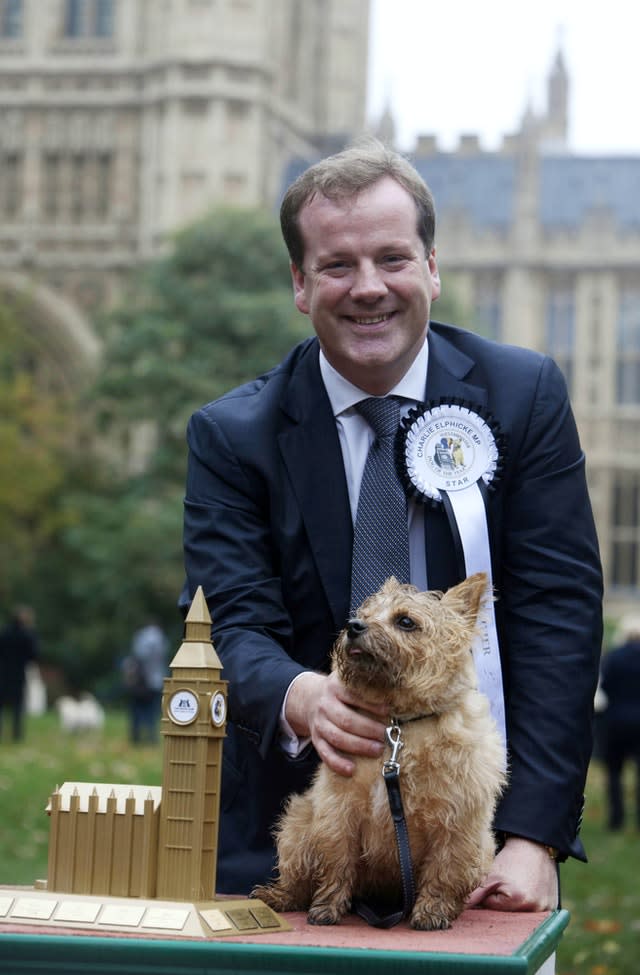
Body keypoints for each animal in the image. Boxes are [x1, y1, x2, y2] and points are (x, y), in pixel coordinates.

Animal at [252, 576, 508, 936]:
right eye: (365, 614)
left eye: (405, 621)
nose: (353, 626)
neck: (398, 726)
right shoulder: (339, 810)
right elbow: (337, 860)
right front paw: (327, 907)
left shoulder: (457, 824)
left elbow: (444, 870)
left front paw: (432, 910)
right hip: (298, 825)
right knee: (297, 876)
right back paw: (279, 896)